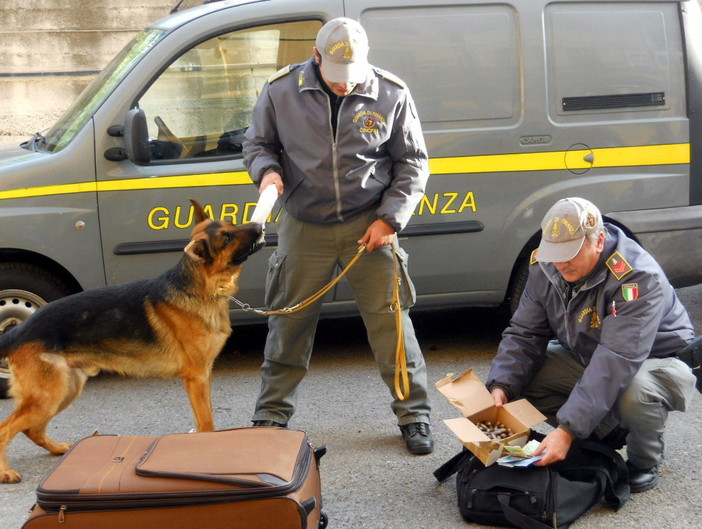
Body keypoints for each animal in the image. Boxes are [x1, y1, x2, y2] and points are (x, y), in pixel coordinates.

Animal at [0, 199, 264, 482]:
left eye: (231, 224)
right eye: (226, 238)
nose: (260, 227)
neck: (200, 286)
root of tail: (19, 329)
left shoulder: (203, 376)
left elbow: (206, 418)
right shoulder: (196, 376)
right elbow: (207, 422)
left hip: (64, 391)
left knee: (32, 430)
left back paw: (57, 448)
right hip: (47, 396)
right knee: (6, 429)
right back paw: (6, 471)